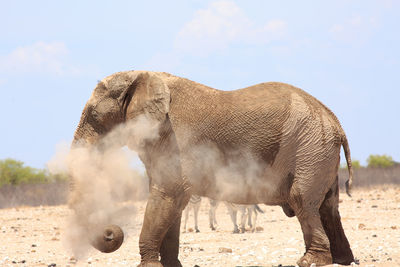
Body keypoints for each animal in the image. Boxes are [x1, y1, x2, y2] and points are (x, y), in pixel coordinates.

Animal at [70, 70, 354, 266]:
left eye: (94, 115)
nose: (111, 232)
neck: (143, 76)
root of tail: (336, 122)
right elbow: (171, 203)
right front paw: (171, 265)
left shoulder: (174, 139)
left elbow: (167, 194)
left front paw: (149, 265)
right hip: (319, 151)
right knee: (328, 207)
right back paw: (343, 260)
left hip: (310, 147)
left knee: (302, 200)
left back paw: (311, 261)